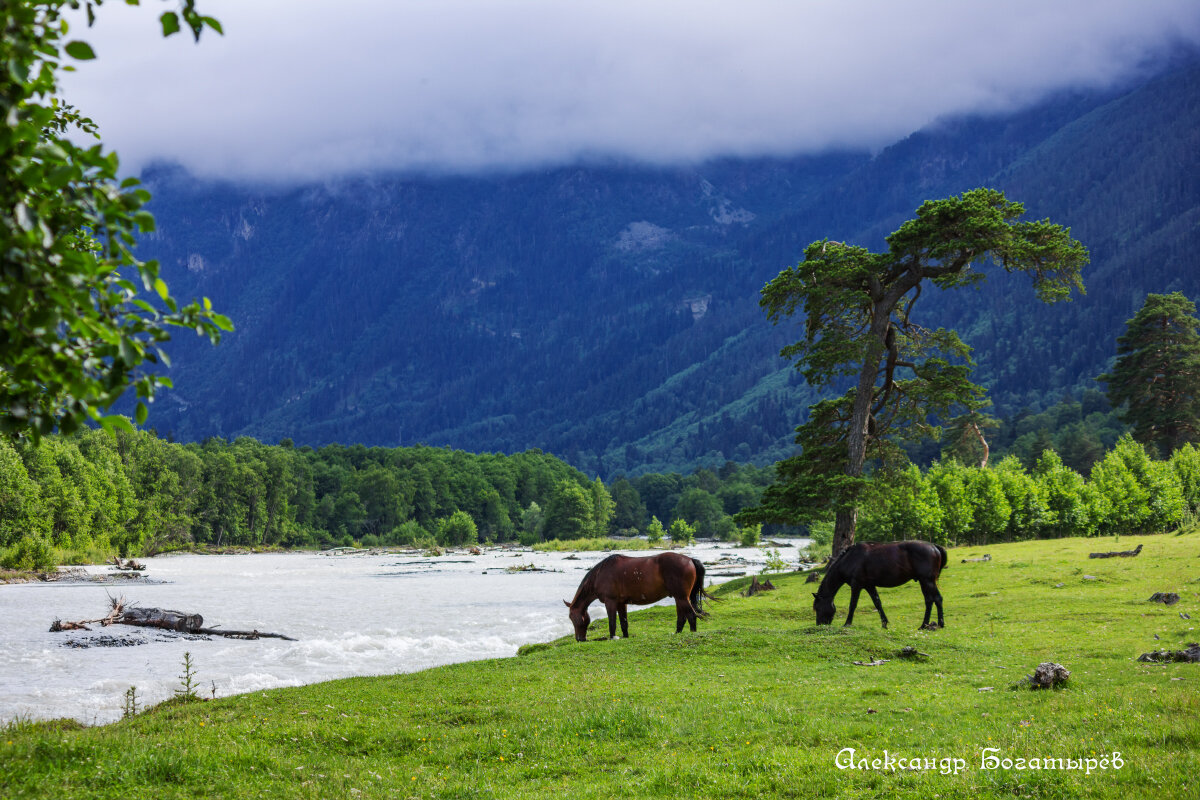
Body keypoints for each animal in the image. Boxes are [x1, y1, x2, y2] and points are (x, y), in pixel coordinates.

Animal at [566, 554, 705, 642]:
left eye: (572, 617)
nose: (580, 639)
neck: (600, 574)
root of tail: (690, 559)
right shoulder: (622, 603)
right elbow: (623, 622)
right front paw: (625, 637)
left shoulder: (610, 602)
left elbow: (612, 622)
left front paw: (612, 637)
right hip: (679, 598)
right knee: (682, 617)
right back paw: (677, 633)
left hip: (681, 597)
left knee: (691, 616)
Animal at [816, 542, 945, 628]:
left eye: (818, 608)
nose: (819, 624)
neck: (850, 559)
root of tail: (934, 547)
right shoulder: (869, 586)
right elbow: (877, 603)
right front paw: (884, 623)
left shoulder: (856, 585)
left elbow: (852, 604)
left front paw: (847, 623)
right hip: (924, 582)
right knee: (930, 600)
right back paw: (926, 625)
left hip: (927, 581)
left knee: (937, 599)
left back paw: (936, 624)